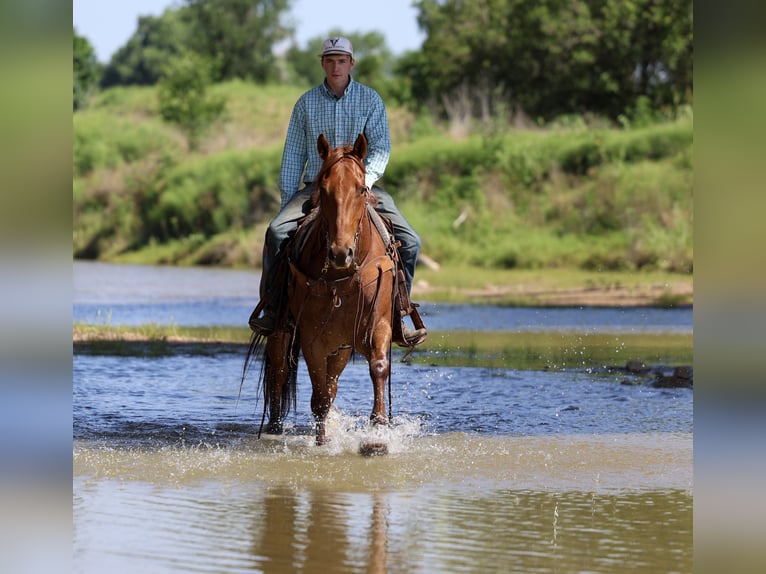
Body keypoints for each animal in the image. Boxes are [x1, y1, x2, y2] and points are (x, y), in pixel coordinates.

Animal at [244, 133, 401, 446]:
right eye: (324, 190)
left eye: (361, 189)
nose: (341, 253)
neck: (343, 277)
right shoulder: (312, 338)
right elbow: (319, 398)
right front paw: (321, 445)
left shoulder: (378, 325)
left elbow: (377, 367)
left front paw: (377, 434)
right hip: (282, 331)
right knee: (279, 372)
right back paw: (274, 428)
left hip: (340, 347)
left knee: (331, 383)